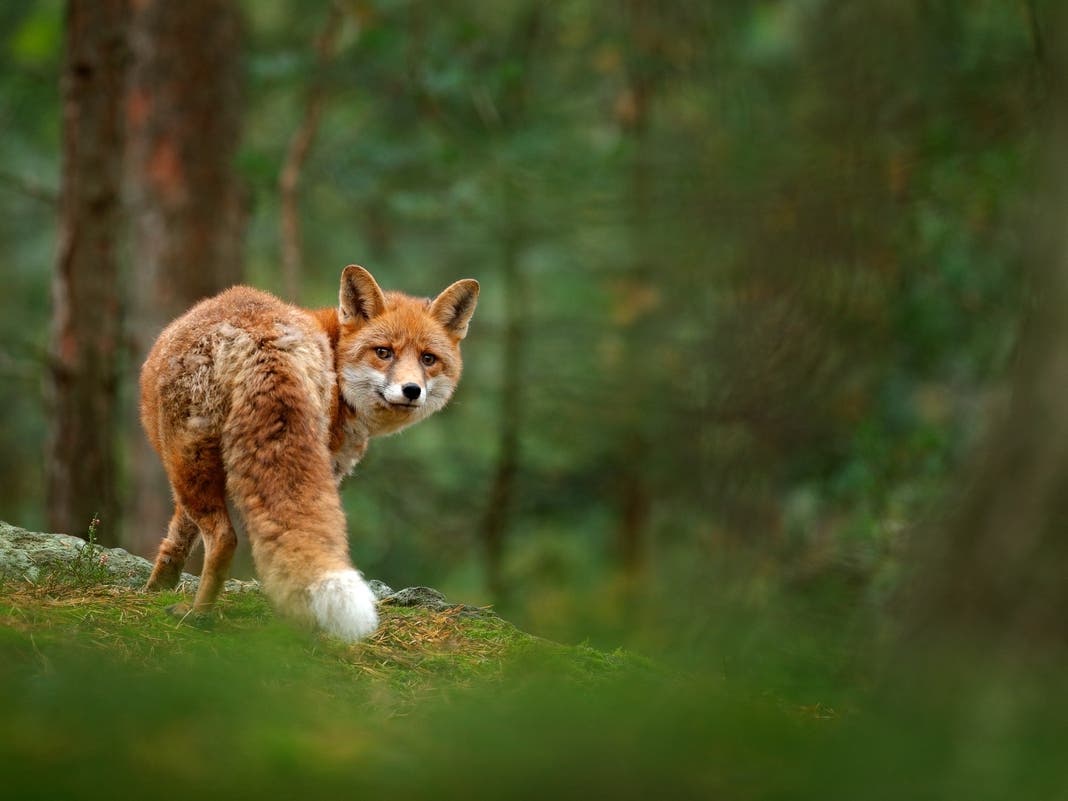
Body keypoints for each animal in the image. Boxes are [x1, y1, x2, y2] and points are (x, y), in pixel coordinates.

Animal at [139, 265, 479, 641]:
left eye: (428, 359)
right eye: (383, 352)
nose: (411, 390)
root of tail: (262, 338)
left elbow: (178, 536)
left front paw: (156, 589)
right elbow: (179, 536)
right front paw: (157, 588)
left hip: (186, 460)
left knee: (224, 539)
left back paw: (199, 614)